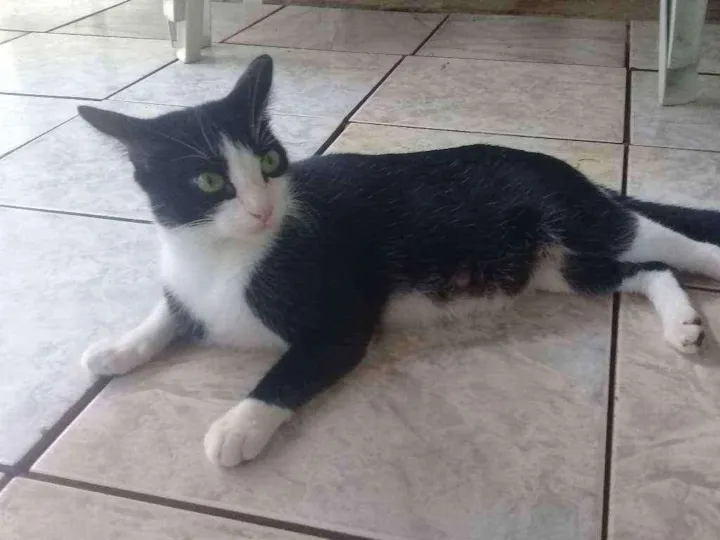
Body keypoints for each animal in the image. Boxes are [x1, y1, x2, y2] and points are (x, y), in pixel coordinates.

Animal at [78, 54, 720, 467]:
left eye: (269, 161)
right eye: (210, 181)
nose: (262, 210)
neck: (222, 256)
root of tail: (572, 173)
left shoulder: (342, 317)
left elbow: (293, 369)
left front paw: (237, 427)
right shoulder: (188, 279)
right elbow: (169, 311)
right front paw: (117, 349)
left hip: (582, 219)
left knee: (667, 243)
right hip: (555, 266)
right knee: (641, 270)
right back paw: (682, 322)